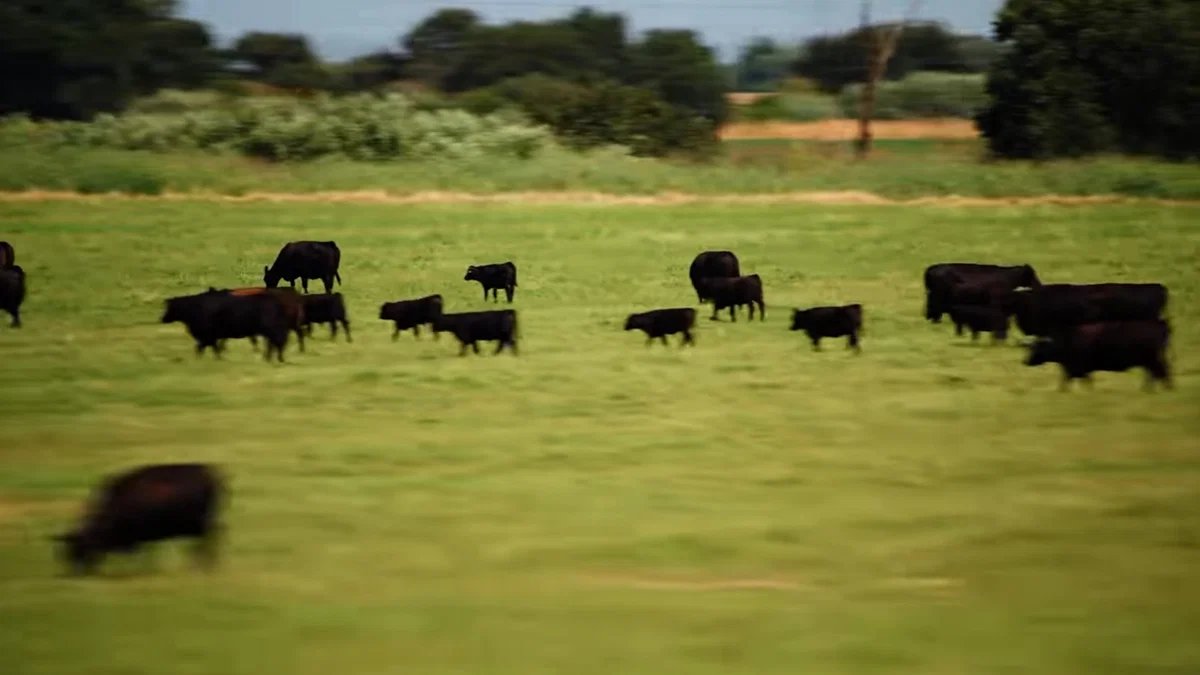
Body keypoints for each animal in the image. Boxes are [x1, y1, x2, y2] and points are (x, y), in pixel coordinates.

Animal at [54, 463, 225, 575]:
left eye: (83, 548)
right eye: (66, 553)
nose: (78, 573)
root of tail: (210, 472)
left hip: (204, 525)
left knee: (209, 542)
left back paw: (205, 566)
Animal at [161, 290, 292, 362]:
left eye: (171, 307)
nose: (162, 319)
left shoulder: (207, 336)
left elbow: (205, 348)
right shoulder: (209, 337)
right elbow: (209, 348)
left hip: (272, 330)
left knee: (277, 343)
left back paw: (276, 359)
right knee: (274, 344)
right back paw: (270, 359)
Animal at [1024, 319, 1171, 391]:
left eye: (1037, 347)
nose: (1025, 361)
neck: (1067, 338)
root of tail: (1161, 324)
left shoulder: (1079, 368)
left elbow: (1078, 382)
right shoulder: (1074, 369)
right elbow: (1069, 381)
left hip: (1152, 360)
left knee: (1160, 373)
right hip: (1150, 361)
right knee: (1156, 374)